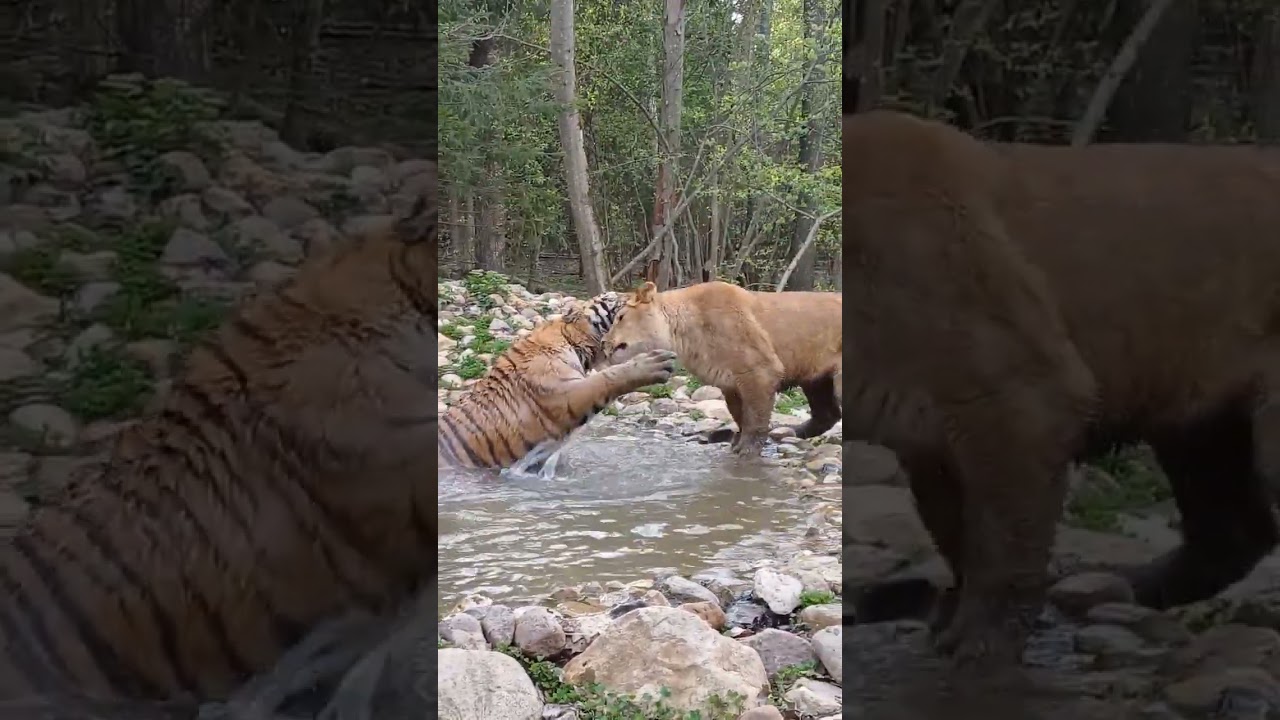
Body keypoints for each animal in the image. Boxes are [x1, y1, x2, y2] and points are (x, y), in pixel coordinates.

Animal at [602, 280, 842, 456]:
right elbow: (740, 415)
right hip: (816, 379)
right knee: (827, 414)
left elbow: (755, 417)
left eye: (620, 317)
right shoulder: (730, 383)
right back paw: (793, 431)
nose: (604, 342)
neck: (683, 333)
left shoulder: (760, 370)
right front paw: (737, 442)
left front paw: (747, 450)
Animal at [843, 109, 1280, 668]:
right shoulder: (932, 436)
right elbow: (958, 529)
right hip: (1200, 418)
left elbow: (1002, 536)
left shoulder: (1021, 393)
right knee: (1234, 525)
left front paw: (978, 644)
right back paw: (1133, 586)